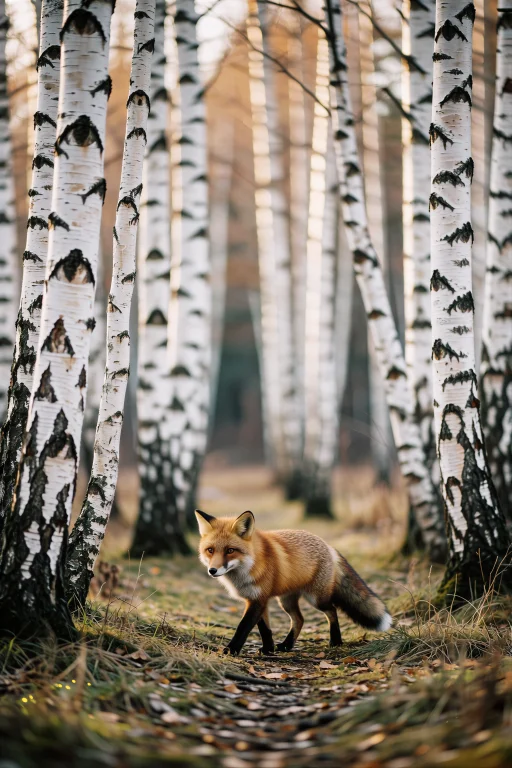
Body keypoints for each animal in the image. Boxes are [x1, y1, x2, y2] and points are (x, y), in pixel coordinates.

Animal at [195, 509, 392, 656]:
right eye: (210, 550)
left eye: (230, 550)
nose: (213, 571)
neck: (250, 565)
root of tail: (328, 546)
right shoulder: (258, 599)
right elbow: (264, 629)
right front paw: (268, 649)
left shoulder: (258, 599)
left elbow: (243, 627)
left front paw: (231, 649)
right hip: (286, 601)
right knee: (299, 619)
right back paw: (287, 645)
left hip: (316, 599)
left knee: (332, 610)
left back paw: (335, 640)